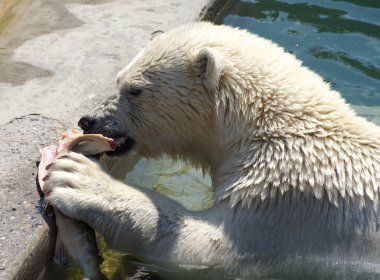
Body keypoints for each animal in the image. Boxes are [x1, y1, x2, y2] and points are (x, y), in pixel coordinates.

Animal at [45, 22, 380, 280]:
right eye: (117, 82)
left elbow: (204, 249)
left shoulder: (288, 199)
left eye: (134, 89)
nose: (89, 120)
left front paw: (78, 178)